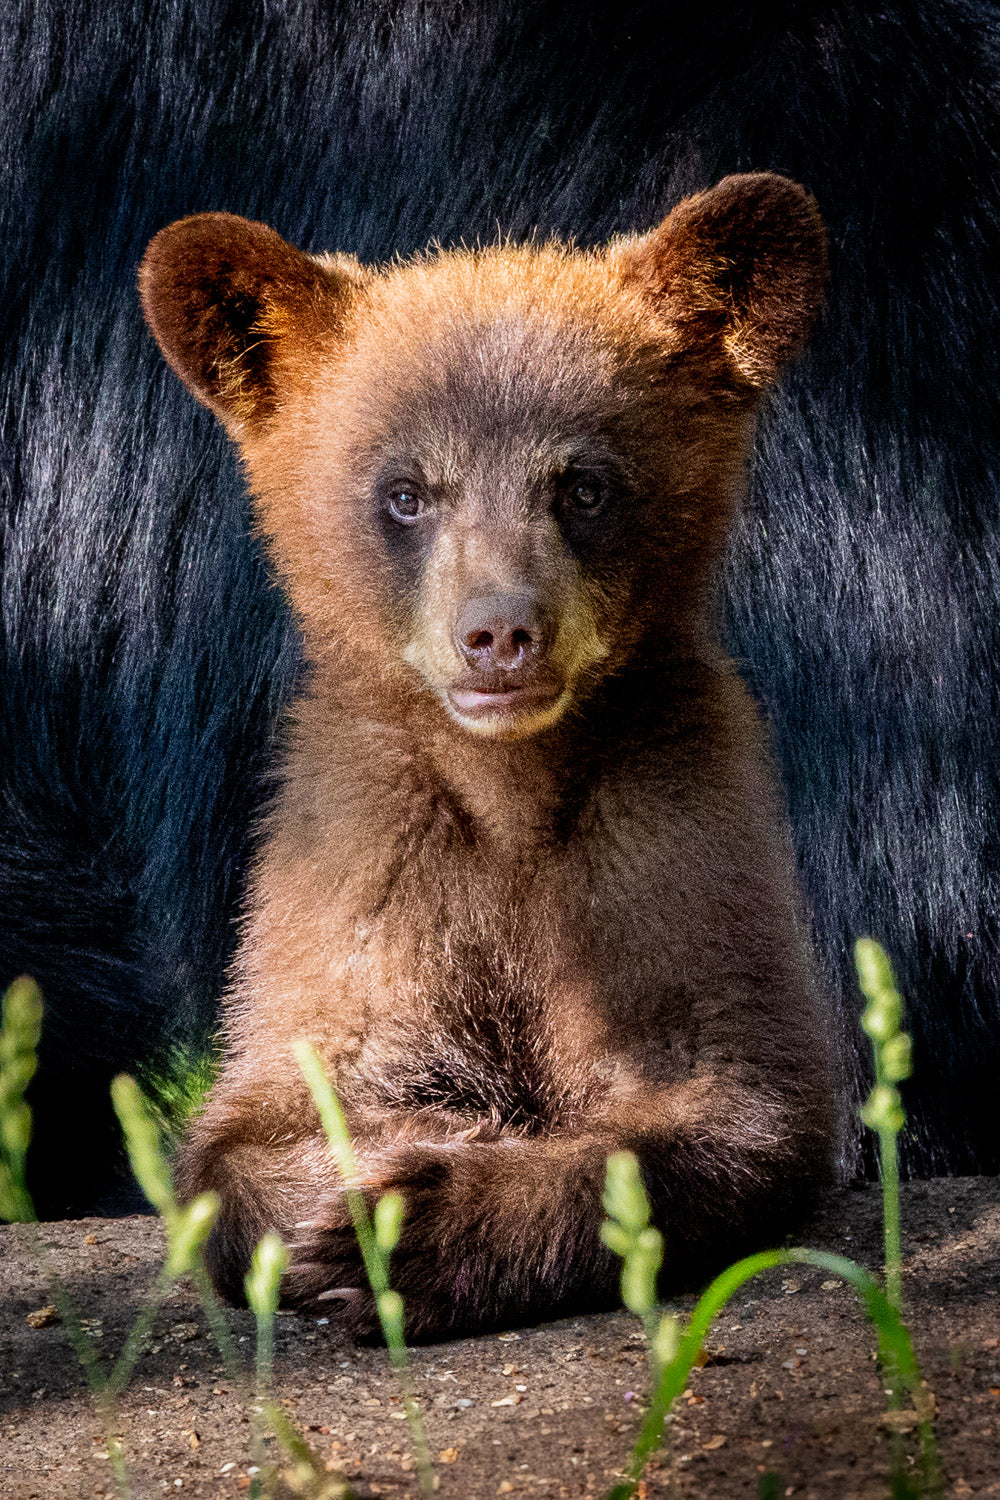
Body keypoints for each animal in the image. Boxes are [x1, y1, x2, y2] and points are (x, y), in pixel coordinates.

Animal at [138, 173, 838, 1336]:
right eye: (406, 491)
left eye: (584, 485)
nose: (500, 632)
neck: (508, 797)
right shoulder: (366, 863)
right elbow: (255, 1128)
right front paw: (379, 1164)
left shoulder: (665, 845)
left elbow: (722, 1112)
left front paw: (428, 1224)